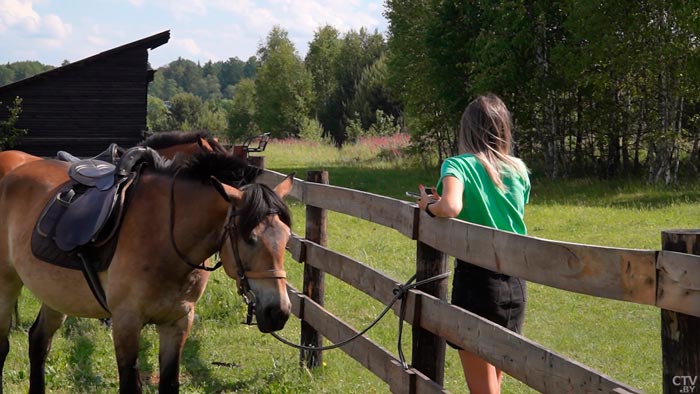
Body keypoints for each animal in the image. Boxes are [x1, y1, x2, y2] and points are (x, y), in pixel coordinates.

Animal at [0, 150, 292, 390]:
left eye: (287, 238)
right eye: (249, 238)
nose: (278, 312)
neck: (164, 234)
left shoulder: (177, 322)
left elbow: (169, 382)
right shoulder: (126, 322)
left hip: (56, 296)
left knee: (38, 342)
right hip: (7, 286)